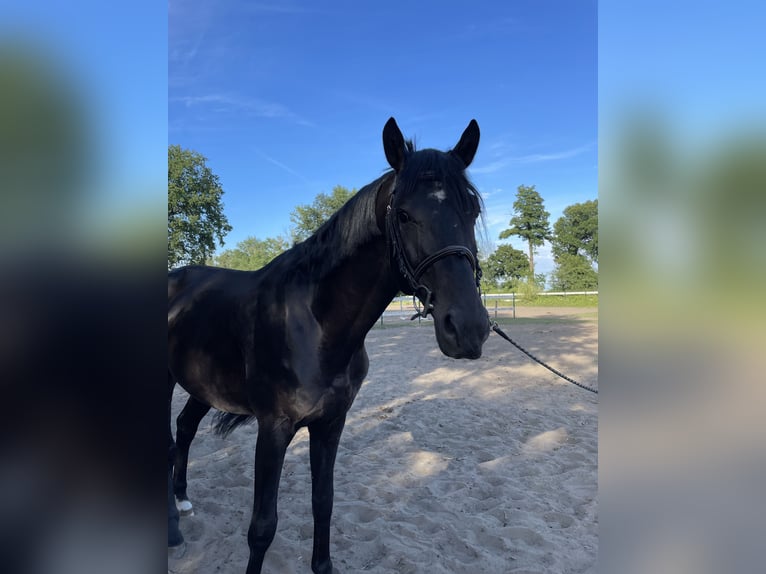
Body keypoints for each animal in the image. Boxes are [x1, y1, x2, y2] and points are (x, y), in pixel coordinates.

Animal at [168, 119, 492, 572]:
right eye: (404, 214)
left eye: (472, 210)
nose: (468, 328)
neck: (315, 325)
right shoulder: (273, 429)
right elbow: (262, 527)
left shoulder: (331, 423)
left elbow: (324, 501)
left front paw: (323, 564)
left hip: (203, 385)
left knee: (184, 427)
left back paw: (181, 499)